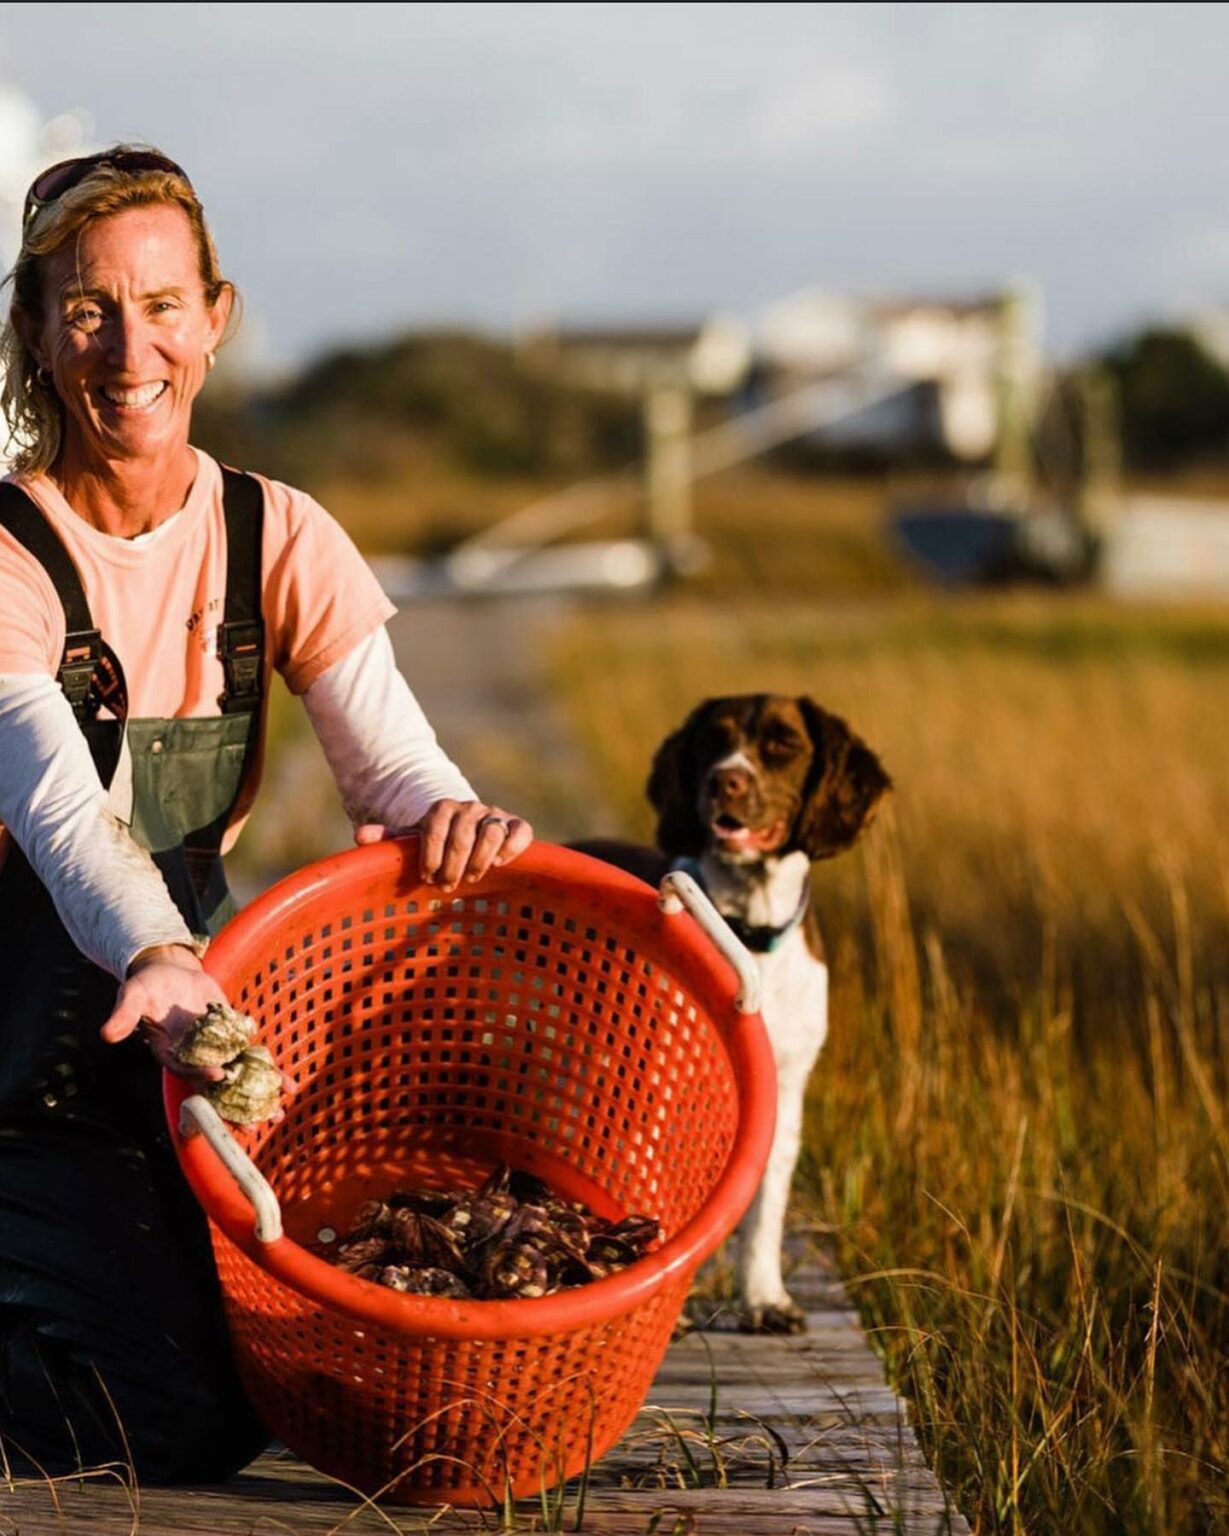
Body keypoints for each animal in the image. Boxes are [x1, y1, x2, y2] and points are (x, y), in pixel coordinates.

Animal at [571, 697, 891, 1333]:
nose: (727, 780)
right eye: (711, 742)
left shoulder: (785, 1092)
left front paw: (764, 1299)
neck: (746, 928)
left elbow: (765, 1205)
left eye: (783, 745)